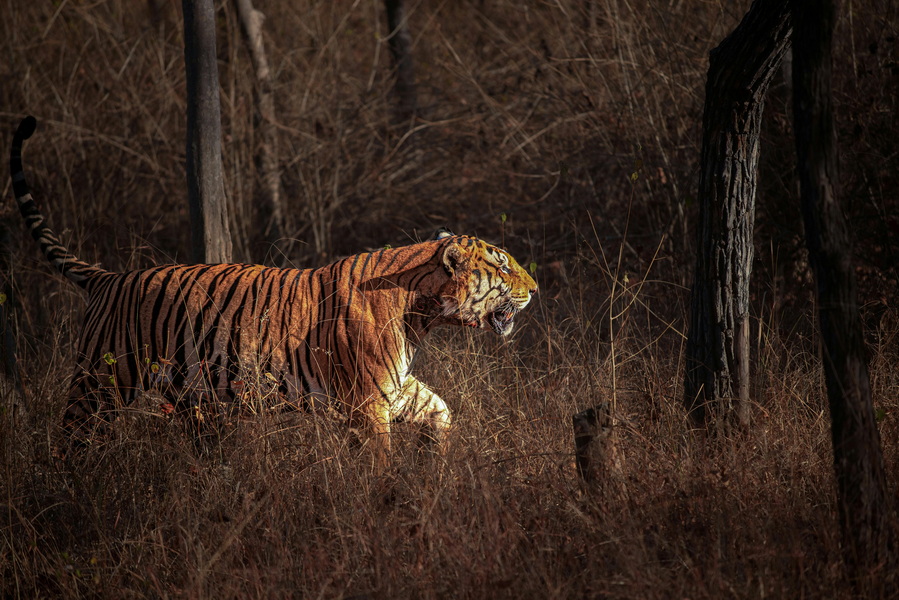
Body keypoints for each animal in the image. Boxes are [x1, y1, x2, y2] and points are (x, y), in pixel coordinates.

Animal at [10, 116, 537, 459]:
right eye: (503, 266)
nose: (536, 288)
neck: (421, 313)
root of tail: (109, 277)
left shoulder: (397, 388)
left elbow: (440, 410)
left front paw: (435, 465)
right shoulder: (367, 403)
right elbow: (379, 464)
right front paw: (389, 505)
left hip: (189, 396)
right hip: (98, 385)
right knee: (71, 440)